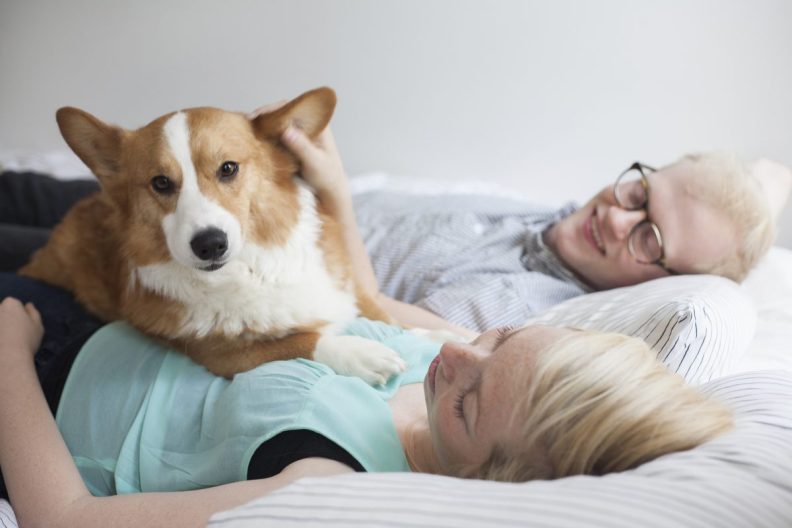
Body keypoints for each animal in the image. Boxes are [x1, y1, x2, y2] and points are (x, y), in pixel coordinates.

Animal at [21, 86, 406, 384]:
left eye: (228, 168)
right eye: (161, 183)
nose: (209, 244)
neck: (252, 270)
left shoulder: (349, 291)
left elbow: (392, 321)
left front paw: (419, 334)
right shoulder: (223, 355)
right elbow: (300, 341)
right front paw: (362, 353)